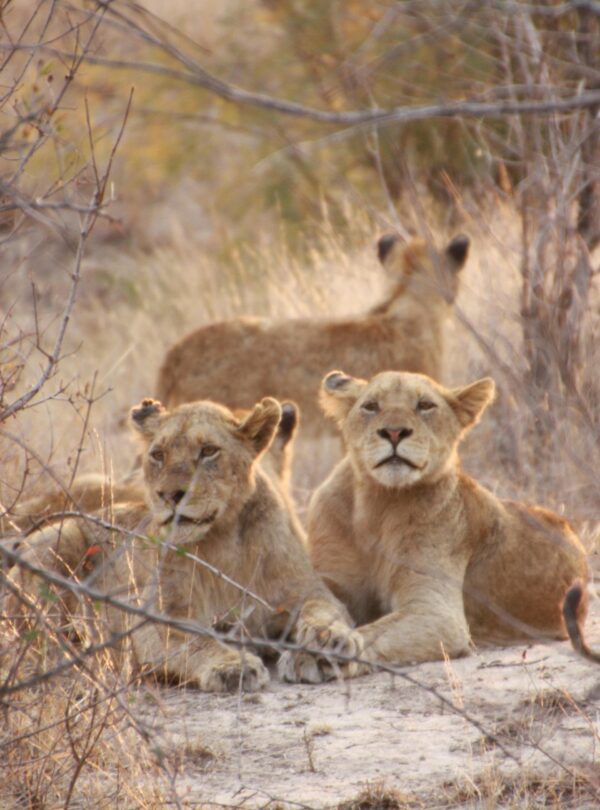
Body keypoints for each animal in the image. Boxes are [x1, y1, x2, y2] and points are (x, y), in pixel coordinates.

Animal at [5, 397, 360, 692]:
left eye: (208, 451)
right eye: (158, 455)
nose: (169, 495)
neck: (221, 542)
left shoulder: (307, 592)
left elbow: (323, 612)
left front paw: (327, 646)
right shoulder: (153, 619)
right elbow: (196, 640)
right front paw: (232, 665)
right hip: (58, 540)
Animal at [307, 369, 588, 667]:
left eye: (425, 405)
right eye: (371, 406)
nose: (394, 432)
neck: (379, 501)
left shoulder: (437, 612)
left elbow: (376, 632)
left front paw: (337, 646)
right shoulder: (331, 577)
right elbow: (312, 604)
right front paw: (319, 637)